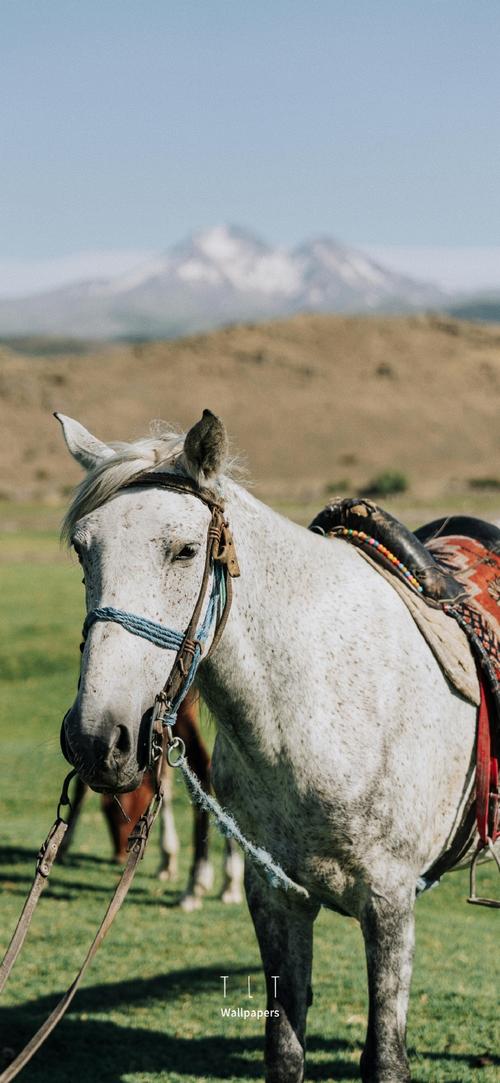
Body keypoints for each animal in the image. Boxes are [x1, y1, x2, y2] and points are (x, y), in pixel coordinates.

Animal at [56, 409, 487, 1078]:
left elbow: (386, 1058)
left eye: (185, 550)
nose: (98, 739)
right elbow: (284, 1050)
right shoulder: (277, 899)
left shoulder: (391, 904)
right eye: (83, 549)